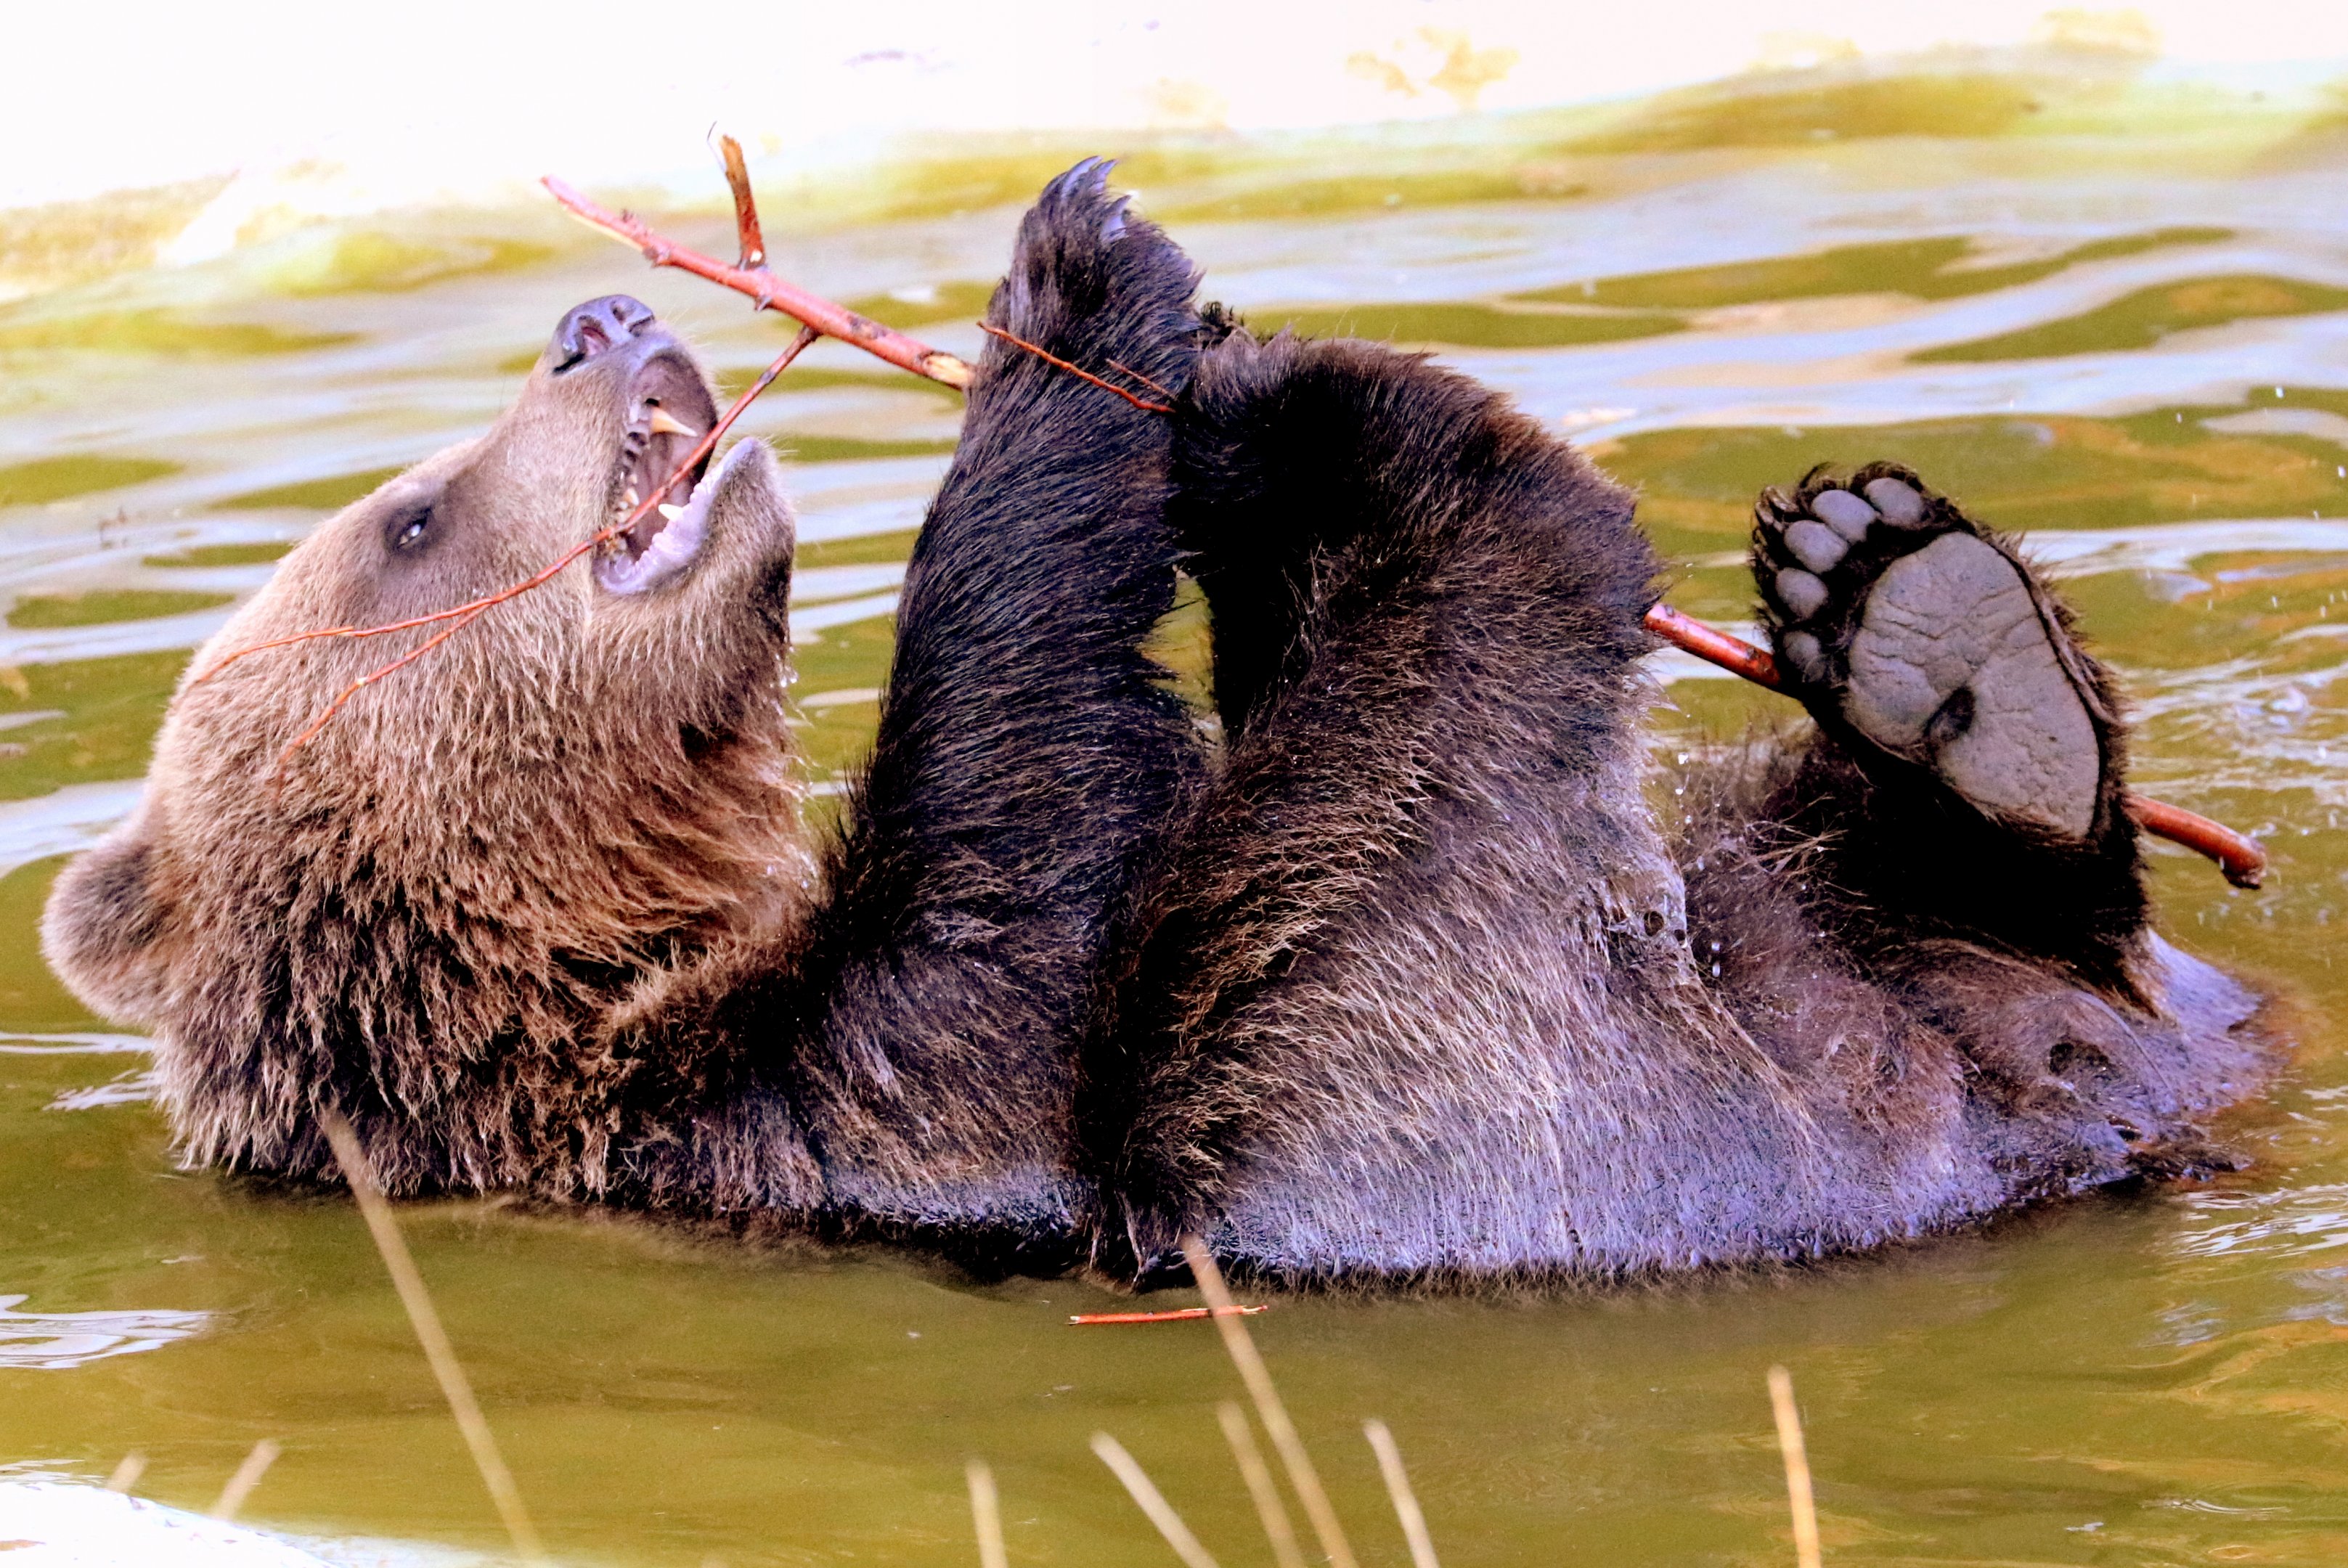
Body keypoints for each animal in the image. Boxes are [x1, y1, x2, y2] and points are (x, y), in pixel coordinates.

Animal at [41, 161, 2275, 1287]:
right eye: (411, 520)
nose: (600, 319)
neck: (617, 955)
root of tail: (2128, 1091)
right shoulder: (843, 1099)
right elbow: (1031, 834)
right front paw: (1079, 287)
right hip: (1558, 1116)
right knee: (1401, 848)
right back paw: (1360, 440)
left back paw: (1916, 627)